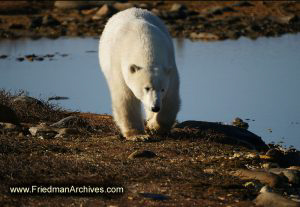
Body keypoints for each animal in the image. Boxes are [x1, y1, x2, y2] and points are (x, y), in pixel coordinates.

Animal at [99, 7, 180, 141]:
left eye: (162, 89)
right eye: (146, 88)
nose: (155, 107)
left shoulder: (170, 65)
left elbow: (171, 96)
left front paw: (155, 126)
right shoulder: (119, 64)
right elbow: (126, 98)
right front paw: (138, 135)